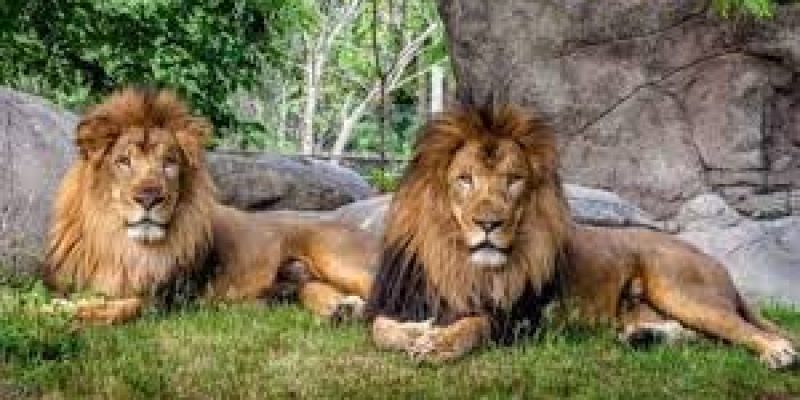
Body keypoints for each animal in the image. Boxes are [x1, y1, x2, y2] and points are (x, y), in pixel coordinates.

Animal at [43, 88, 378, 324]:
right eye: (123, 161)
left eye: (169, 163)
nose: (149, 197)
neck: (124, 245)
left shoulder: (175, 298)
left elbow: (131, 306)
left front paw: (71, 312)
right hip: (305, 280)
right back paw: (343, 309)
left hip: (336, 258)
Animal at [366, 104, 798, 370]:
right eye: (465, 179)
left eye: (513, 180)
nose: (489, 223)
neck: (458, 260)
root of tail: (719, 265)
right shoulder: (398, 300)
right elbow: (380, 329)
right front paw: (419, 332)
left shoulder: (522, 320)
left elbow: (477, 324)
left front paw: (437, 343)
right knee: (704, 337)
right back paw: (644, 337)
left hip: (680, 287)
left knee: (740, 329)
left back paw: (778, 351)